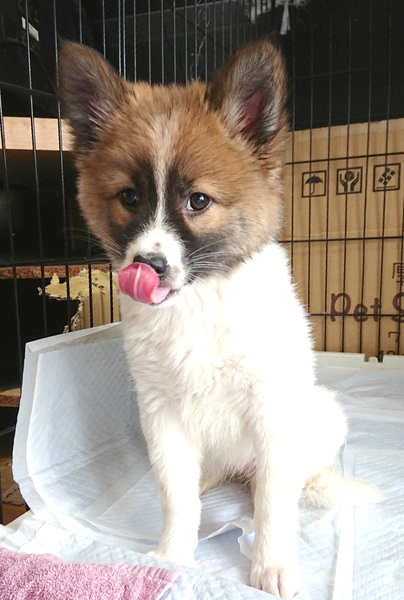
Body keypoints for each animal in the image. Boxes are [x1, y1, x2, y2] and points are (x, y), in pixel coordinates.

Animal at [59, 40, 382, 599]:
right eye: (129, 197)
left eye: (199, 201)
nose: (147, 266)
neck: (197, 301)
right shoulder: (161, 413)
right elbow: (175, 494)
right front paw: (173, 553)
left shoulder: (271, 407)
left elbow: (274, 500)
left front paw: (272, 566)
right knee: (202, 480)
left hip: (319, 413)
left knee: (286, 481)